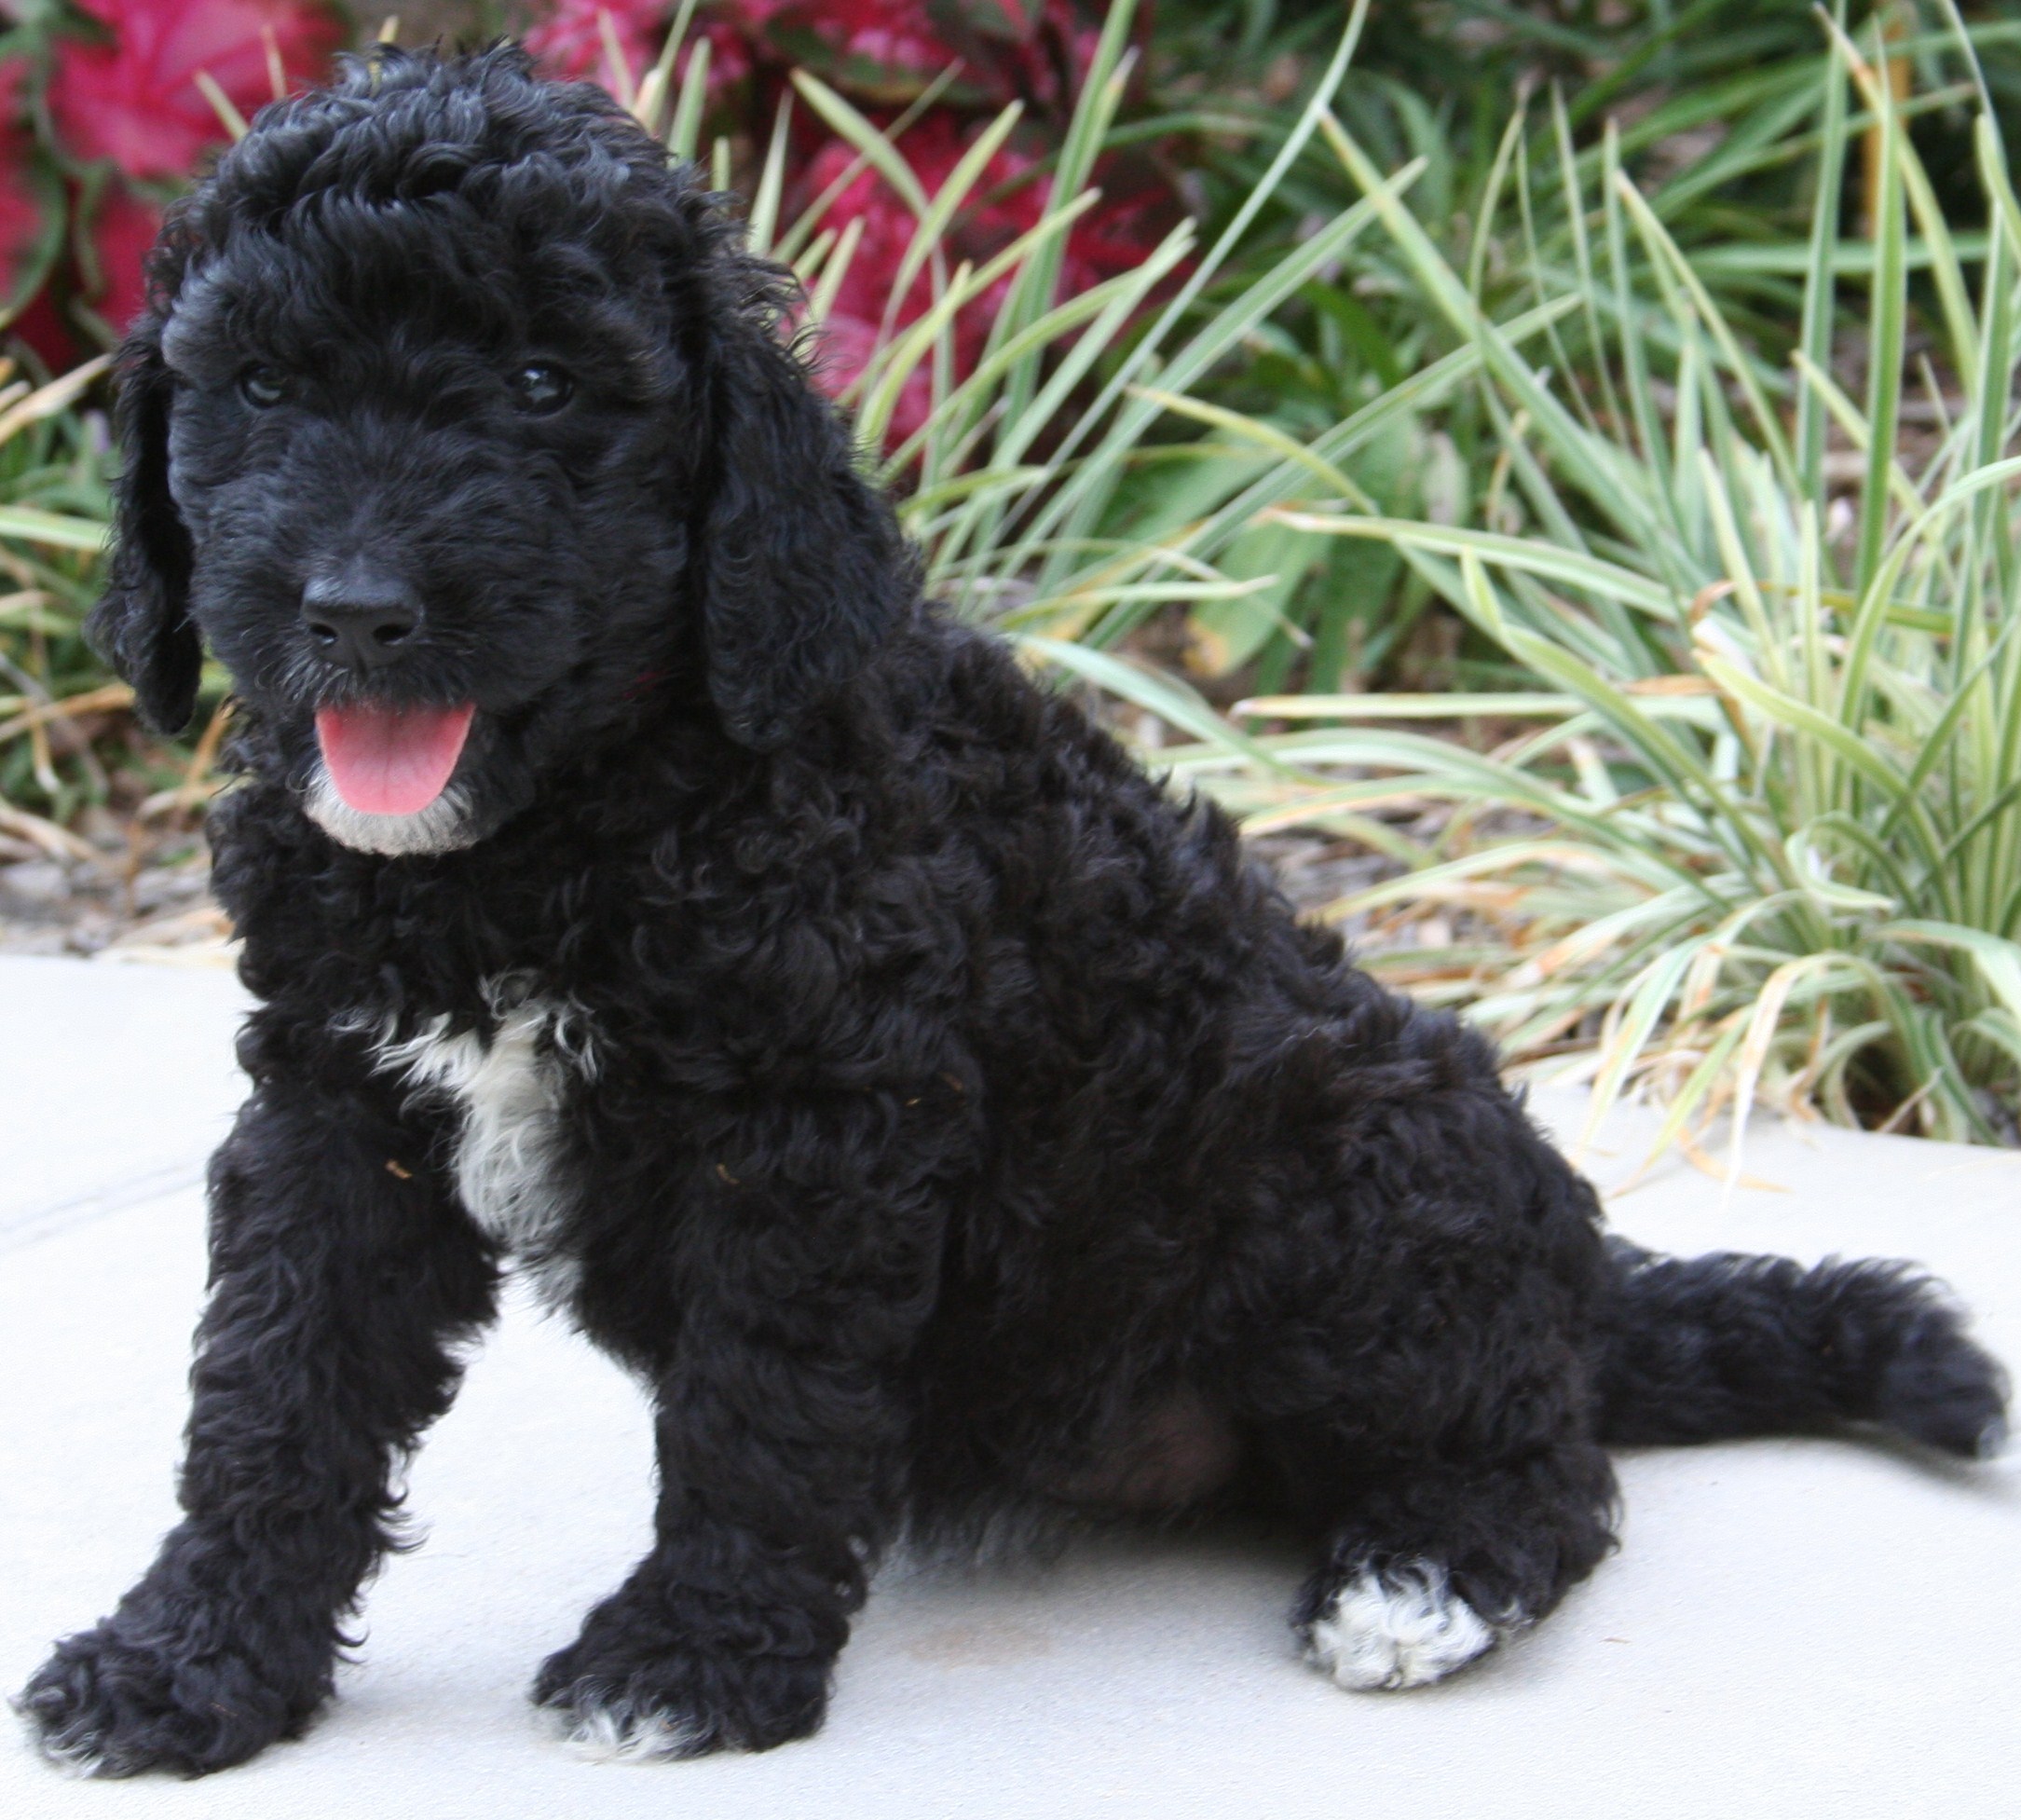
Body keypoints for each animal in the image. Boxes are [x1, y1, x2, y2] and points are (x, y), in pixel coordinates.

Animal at [11, 42, 2004, 1779]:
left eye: (538, 390)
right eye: (262, 391)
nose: (356, 609)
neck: (555, 835)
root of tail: (1576, 1271)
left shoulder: (812, 1132)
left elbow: (758, 1410)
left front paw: (692, 1658)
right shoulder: (336, 1109)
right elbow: (273, 1393)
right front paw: (190, 1661)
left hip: (1351, 1166)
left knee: (1550, 1464)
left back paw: (1416, 1580)